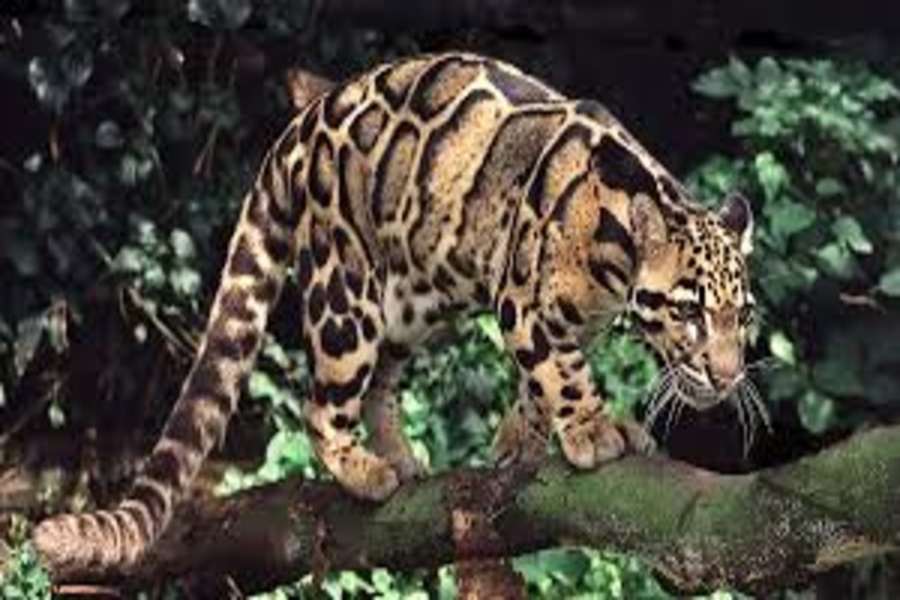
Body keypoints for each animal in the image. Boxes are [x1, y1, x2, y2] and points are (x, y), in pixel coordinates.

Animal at [33, 51, 756, 578]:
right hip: (345, 292)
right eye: (689, 311)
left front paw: (519, 441)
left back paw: (401, 457)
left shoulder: (566, 320)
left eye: (743, 317)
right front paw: (595, 427)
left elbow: (538, 381)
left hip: (408, 304)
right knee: (321, 403)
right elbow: (562, 371)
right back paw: (364, 469)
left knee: (380, 381)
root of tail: (303, 121)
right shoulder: (523, 303)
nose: (727, 376)